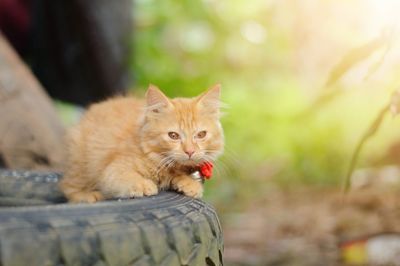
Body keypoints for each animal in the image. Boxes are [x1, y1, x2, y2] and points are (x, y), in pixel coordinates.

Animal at [59, 84, 223, 203]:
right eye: (173, 136)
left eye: (201, 135)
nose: (189, 151)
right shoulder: (113, 170)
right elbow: (127, 177)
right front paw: (143, 185)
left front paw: (190, 184)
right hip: (80, 162)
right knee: (67, 186)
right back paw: (88, 196)